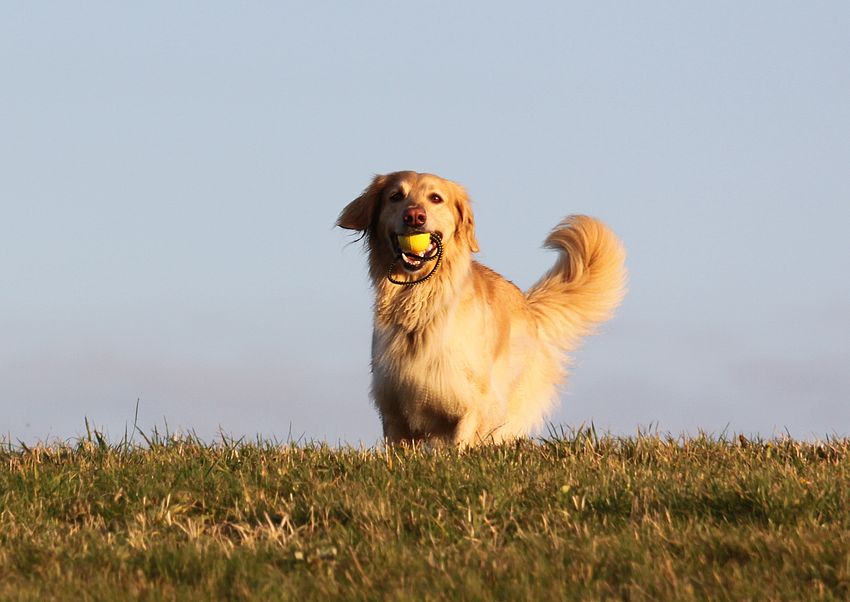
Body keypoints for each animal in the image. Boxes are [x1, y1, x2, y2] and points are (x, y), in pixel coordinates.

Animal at [338, 171, 626, 446]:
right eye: (396, 196)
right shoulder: (393, 407)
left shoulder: (474, 402)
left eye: (436, 198)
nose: (415, 217)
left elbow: (462, 441)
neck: (420, 302)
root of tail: (527, 304)